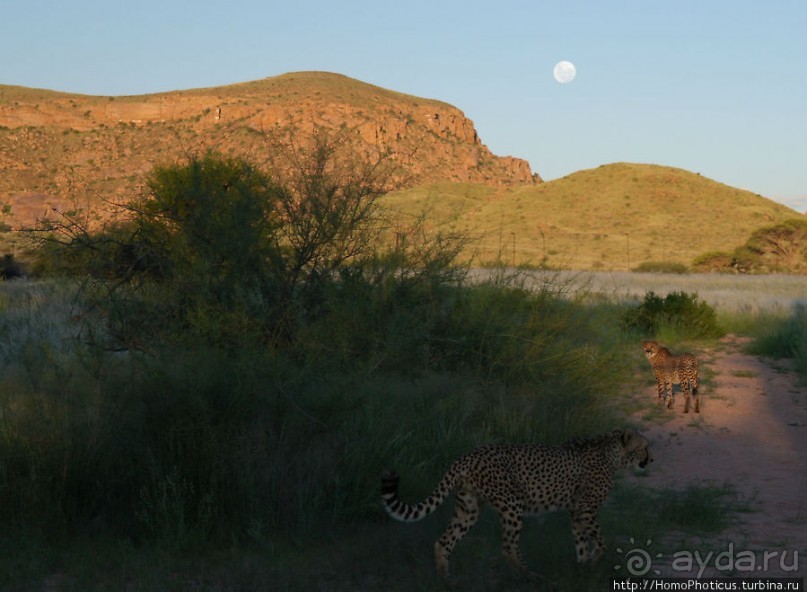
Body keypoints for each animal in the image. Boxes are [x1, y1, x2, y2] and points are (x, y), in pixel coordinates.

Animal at [382, 426, 652, 580]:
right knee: (508, 547)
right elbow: (602, 542)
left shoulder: (576, 511)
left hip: (469, 508)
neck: (613, 452)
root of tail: (468, 454)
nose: (651, 459)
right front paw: (593, 563)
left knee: (443, 541)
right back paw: (531, 575)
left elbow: (581, 541)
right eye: (645, 447)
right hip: (512, 504)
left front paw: (583, 568)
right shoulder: (585, 508)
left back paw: (444, 580)